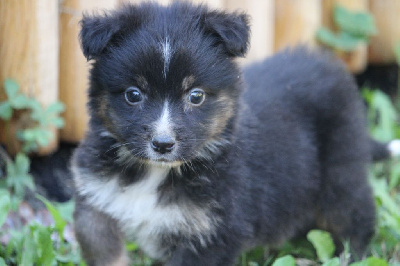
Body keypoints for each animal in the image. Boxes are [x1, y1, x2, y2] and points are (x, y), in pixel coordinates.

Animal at [72, 2, 378, 266]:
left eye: (196, 96)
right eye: (133, 94)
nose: (162, 144)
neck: (155, 173)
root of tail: (329, 65)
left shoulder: (213, 233)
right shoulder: (96, 198)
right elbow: (101, 247)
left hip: (340, 173)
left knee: (355, 218)